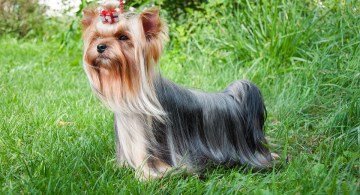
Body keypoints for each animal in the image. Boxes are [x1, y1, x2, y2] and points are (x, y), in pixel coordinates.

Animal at [81, 0, 276, 180]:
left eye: (123, 37)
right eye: (97, 37)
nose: (100, 47)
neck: (133, 93)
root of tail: (234, 98)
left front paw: (146, 177)